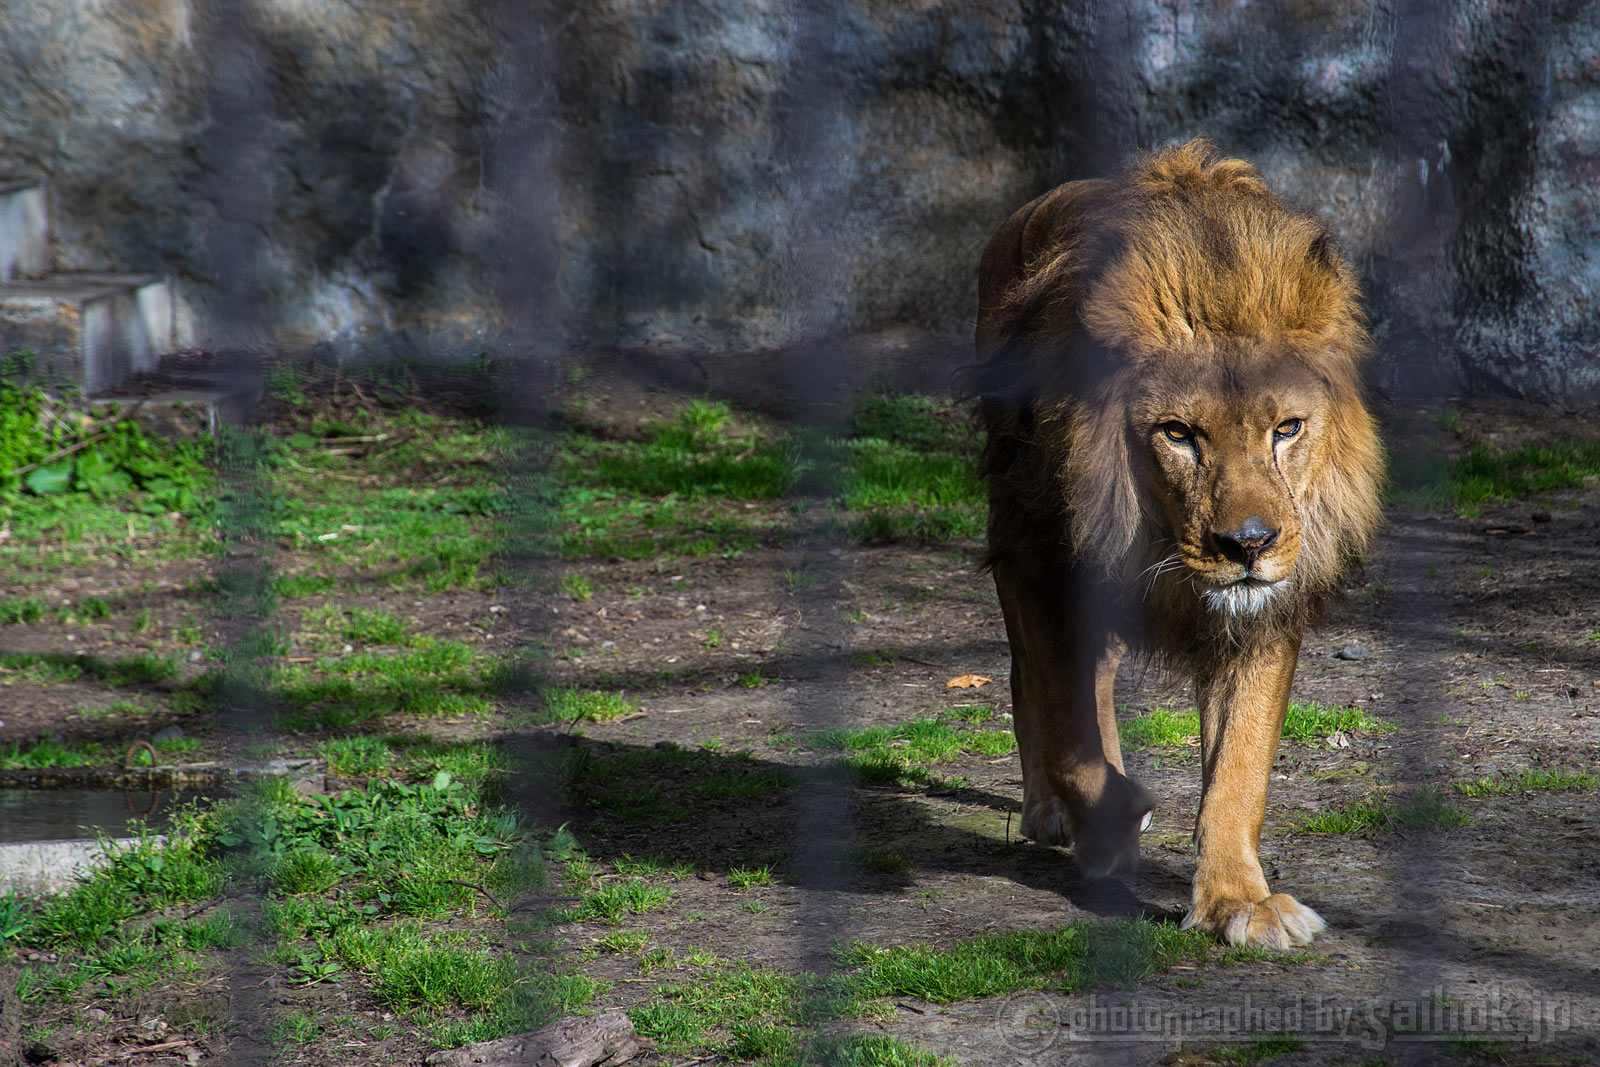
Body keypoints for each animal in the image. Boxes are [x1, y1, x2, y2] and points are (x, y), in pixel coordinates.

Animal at [972, 141, 1388, 953]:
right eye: (1178, 433)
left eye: (1286, 428)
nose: (1248, 544)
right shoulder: (1041, 562)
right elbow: (1067, 731)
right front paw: (1111, 821)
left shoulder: (1264, 614)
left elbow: (1240, 766)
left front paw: (1238, 901)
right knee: (1029, 676)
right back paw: (1051, 814)